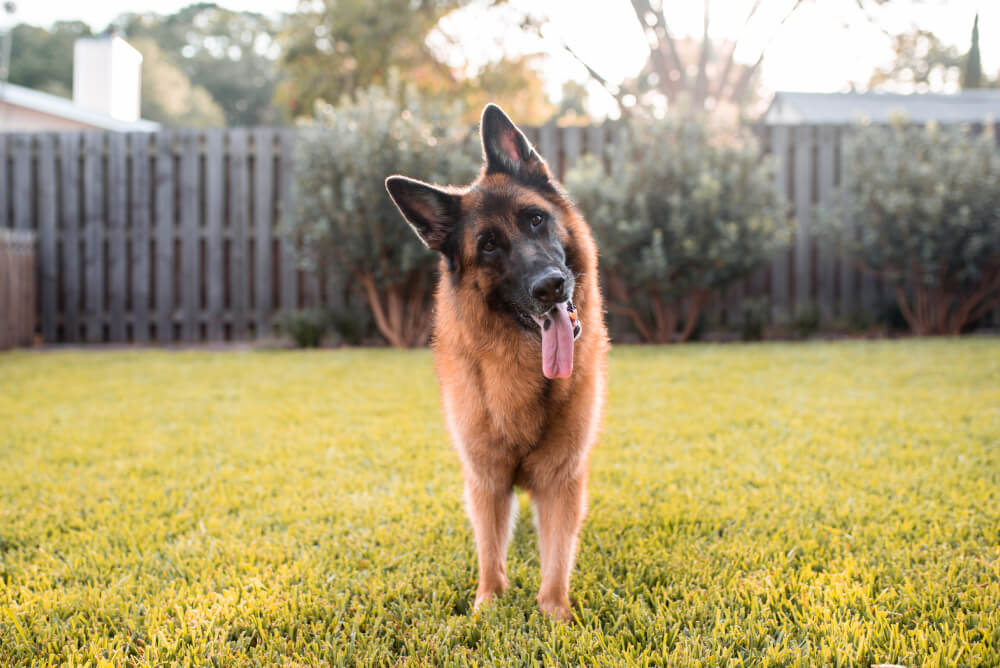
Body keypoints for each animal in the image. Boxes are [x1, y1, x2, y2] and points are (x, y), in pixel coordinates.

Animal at [386, 104, 608, 620]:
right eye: (487, 245)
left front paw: (554, 613)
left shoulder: (561, 481)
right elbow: (490, 552)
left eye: (535, 219)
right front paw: (487, 605)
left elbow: (557, 557)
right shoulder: (486, 481)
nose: (550, 287)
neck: (526, 372)